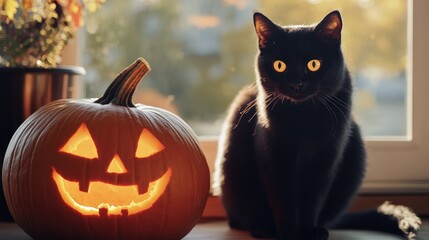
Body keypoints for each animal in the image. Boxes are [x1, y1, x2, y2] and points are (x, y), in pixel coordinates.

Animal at [212, 10, 420, 239]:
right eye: (279, 65)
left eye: (313, 64)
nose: (296, 83)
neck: (304, 118)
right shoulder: (275, 160)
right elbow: (283, 200)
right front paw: (288, 232)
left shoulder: (324, 162)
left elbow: (312, 201)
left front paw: (309, 231)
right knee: (239, 218)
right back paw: (262, 227)